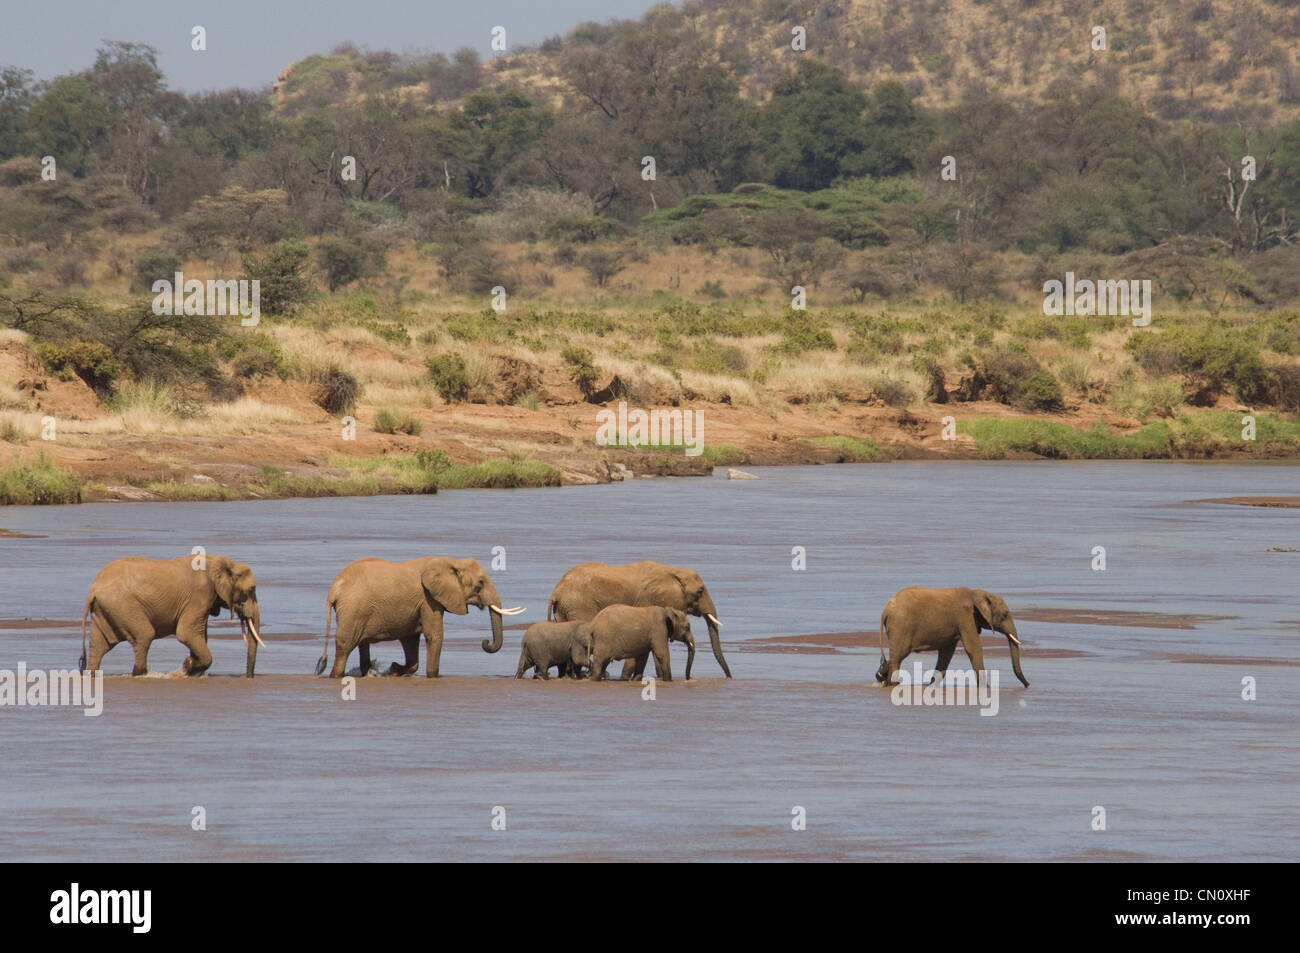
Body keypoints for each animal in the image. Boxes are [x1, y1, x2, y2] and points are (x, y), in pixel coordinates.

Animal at [77, 551, 265, 676]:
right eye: (251, 589)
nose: (248, 678)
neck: (225, 563)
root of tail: (94, 589)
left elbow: (199, 635)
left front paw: (189, 666)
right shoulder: (200, 595)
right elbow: (186, 633)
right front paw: (187, 667)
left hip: (106, 610)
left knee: (99, 646)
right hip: (122, 606)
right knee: (144, 635)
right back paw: (141, 674)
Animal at [315, 553, 522, 681]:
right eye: (480, 583)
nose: (485, 642)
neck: (450, 562)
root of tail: (334, 589)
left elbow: (411, 640)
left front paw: (394, 669)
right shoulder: (428, 599)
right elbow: (434, 635)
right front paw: (432, 677)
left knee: (361, 645)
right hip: (353, 609)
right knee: (345, 646)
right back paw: (337, 675)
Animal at [548, 556, 733, 676]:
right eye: (700, 591)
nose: (729, 677)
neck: (674, 571)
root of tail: (556, 591)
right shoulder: (649, 600)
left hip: (564, 610)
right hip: (578, 605)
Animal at [873, 582, 1024, 686]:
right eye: (1005, 615)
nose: (1027, 685)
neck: (976, 593)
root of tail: (885, 611)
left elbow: (947, 652)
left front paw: (932, 685)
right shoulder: (965, 618)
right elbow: (973, 648)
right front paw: (986, 688)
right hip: (901, 627)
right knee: (897, 657)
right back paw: (894, 684)